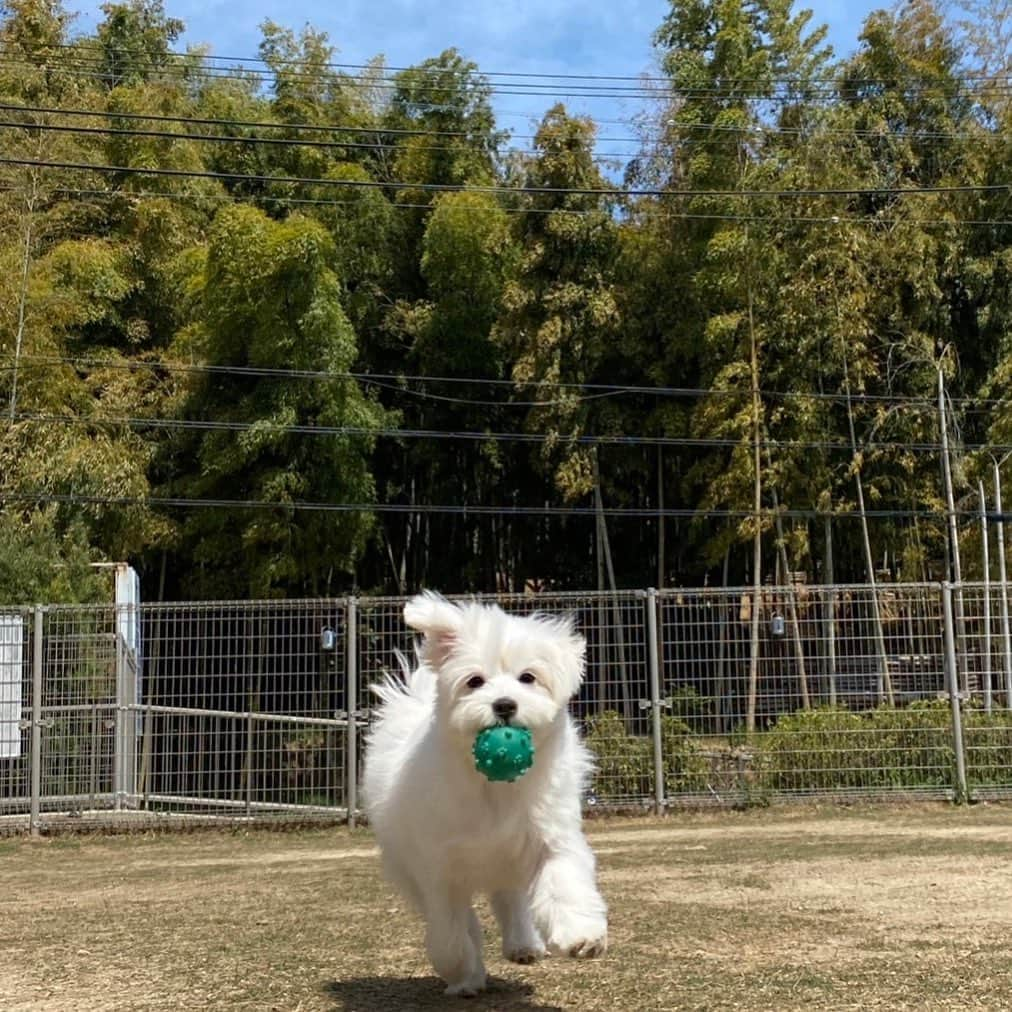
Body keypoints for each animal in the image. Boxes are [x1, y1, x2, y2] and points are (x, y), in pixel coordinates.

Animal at [364, 591, 607, 995]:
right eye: (475, 681)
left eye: (528, 678)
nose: (504, 704)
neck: (494, 786)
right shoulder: (439, 867)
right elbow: (450, 931)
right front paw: (462, 972)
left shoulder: (549, 837)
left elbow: (562, 883)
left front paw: (581, 935)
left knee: (512, 899)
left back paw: (523, 944)